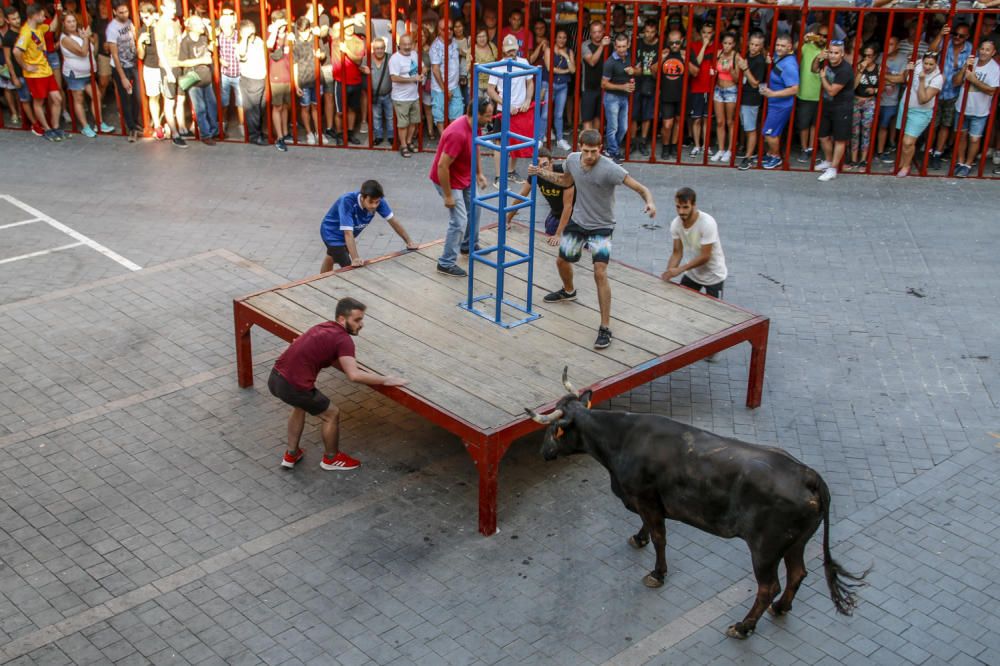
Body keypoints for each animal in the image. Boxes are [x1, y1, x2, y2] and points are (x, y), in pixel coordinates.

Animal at [524, 370, 868, 636]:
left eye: (552, 430)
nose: (542, 452)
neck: (621, 439)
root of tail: (807, 474)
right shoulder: (644, 501)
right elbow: (647, 527)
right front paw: (638, 538)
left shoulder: (646, 498)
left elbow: (660, 537)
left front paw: (657, 573)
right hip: (796, 542)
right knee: (797, 573)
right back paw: (781, 608)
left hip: (765, 548)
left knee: (768, 586)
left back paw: (743, 626)